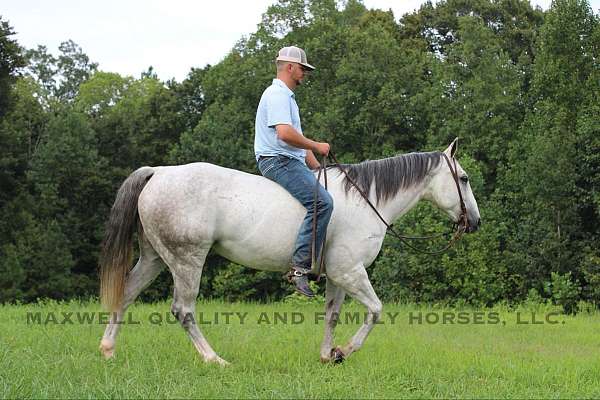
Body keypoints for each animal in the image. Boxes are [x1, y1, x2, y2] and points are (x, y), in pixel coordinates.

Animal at [101, 141, 480, 366]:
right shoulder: (350, 271)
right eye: (463, 178)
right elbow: (375, 311)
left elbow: (332, 315)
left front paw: (328, 355)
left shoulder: (338, 276)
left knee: (126, 294)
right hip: (187, 259)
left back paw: (108, 350)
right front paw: (343, 351)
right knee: (183, 310)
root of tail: (159, 172)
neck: (366, 200)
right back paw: (214, 359)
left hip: (154, 258)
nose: (474, 221)